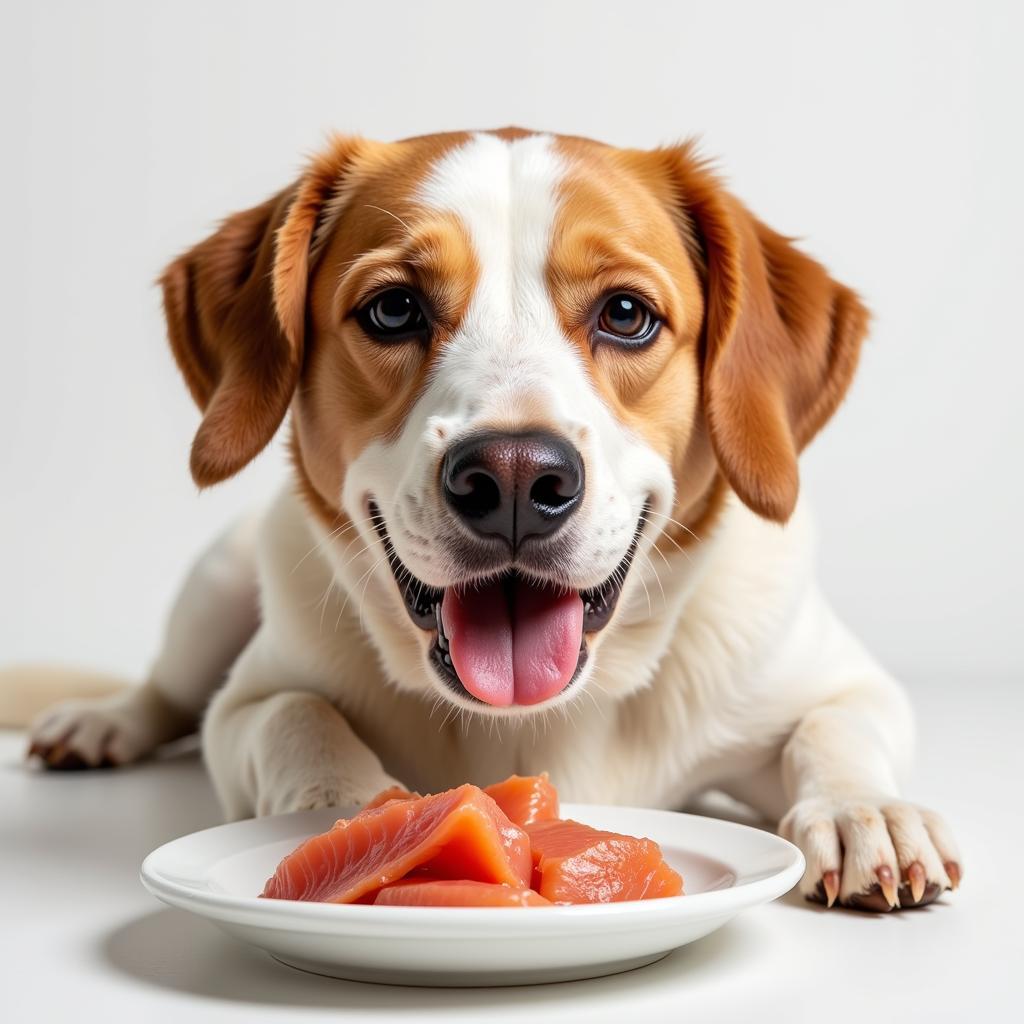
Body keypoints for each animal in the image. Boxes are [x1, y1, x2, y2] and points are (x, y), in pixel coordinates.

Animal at [25, 128, 966, 913]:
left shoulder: (841, 683)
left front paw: (864, 812)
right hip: (220, 582)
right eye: (394, 309)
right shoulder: (245, 703)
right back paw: (100, 722)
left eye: (626, 314)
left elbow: (836, 727)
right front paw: (346, 814)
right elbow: (295, 716)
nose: (515, 477)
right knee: (166, 687)